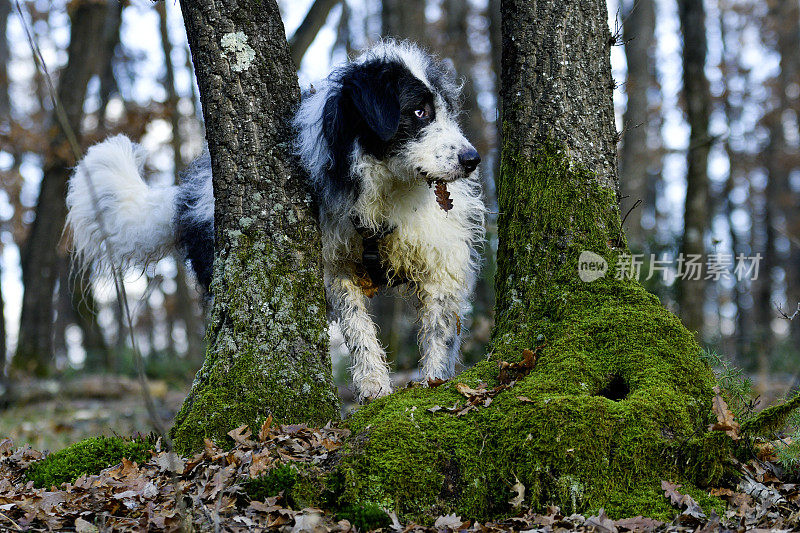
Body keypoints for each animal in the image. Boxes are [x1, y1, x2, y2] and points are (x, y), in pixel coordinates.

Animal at [65, 41, 484, 400]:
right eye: (419, 112)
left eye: (445, 110)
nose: (473, 159)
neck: (384, 190)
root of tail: (187, 191)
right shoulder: (335, 266)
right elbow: (357, 325)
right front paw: (373, 385)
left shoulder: (442, 261)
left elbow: (440, 331)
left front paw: (433, 381)